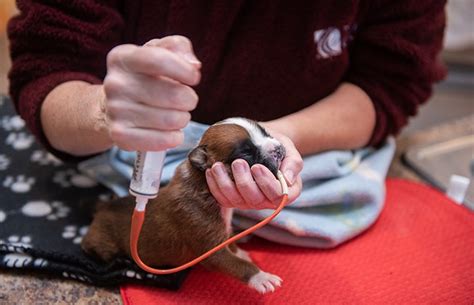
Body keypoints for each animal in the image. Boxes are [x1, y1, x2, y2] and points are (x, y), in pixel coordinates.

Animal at [81, 117, 286, 292]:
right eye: (246, 152)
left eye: (265, 132)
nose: (278, 149)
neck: (202, 182)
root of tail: (102, 207)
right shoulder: (211, 250)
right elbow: (238, 265)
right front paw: (261, 277)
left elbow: (231, 243)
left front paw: (240, 251)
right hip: (103, 244)